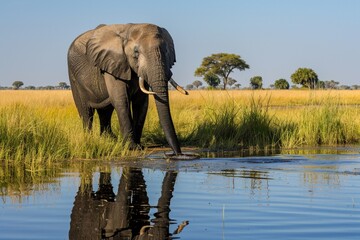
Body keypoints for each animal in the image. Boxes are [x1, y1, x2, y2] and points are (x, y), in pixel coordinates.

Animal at [66, 23, 188, 155]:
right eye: (136, 52)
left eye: (166, 50)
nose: (178, 154)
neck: (130, 28)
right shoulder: (113, 64)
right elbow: (121, 100)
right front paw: (132, 147)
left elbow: (141, 103)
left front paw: (138, 146)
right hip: (73, 77)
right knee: (86, 112)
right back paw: (89, 139)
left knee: (105, 111)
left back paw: (109, 139)